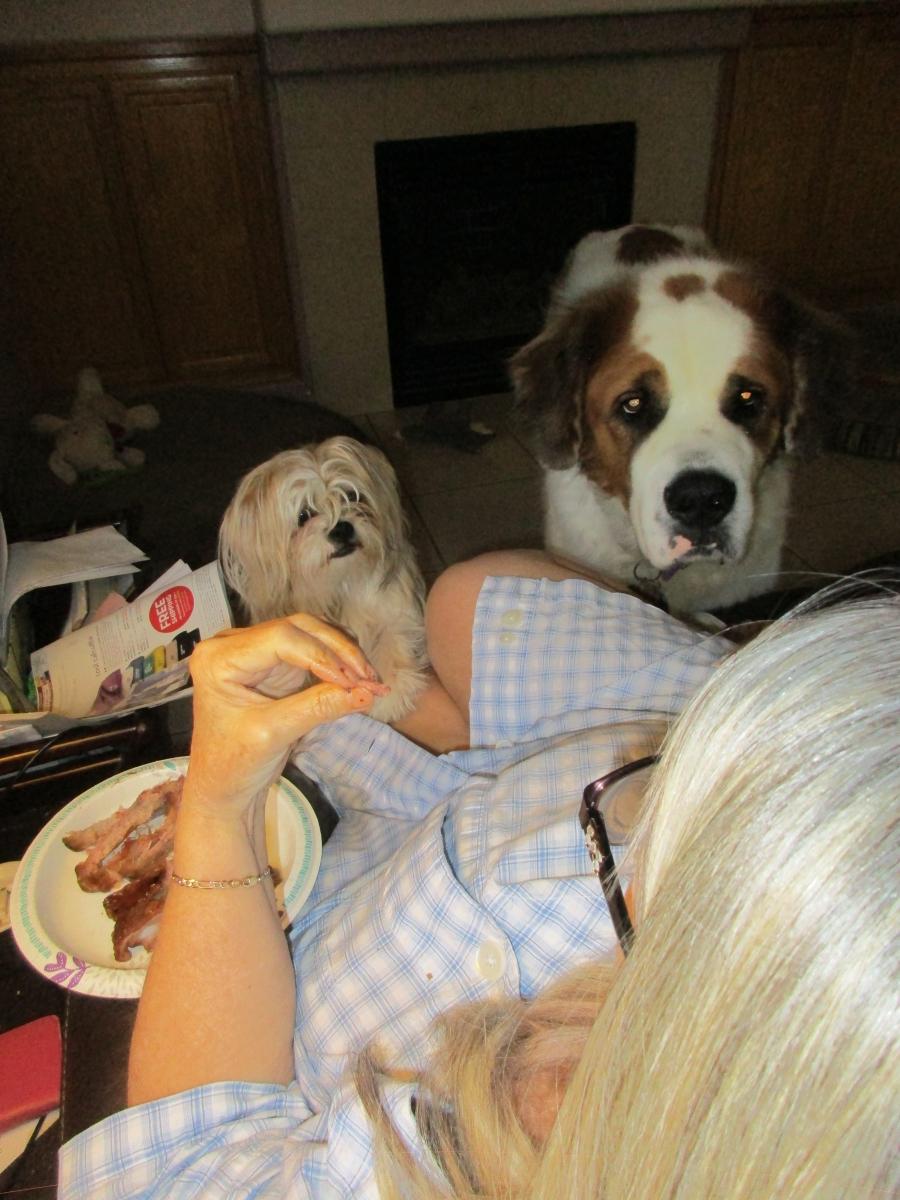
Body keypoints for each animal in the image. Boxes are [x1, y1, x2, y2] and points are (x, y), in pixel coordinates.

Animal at [219, 436, 427, 722]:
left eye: (352, 496)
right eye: (304, 516)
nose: (342, 528)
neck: (337, 583)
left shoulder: (395, 609)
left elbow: (393, 634)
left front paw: (391, 689)